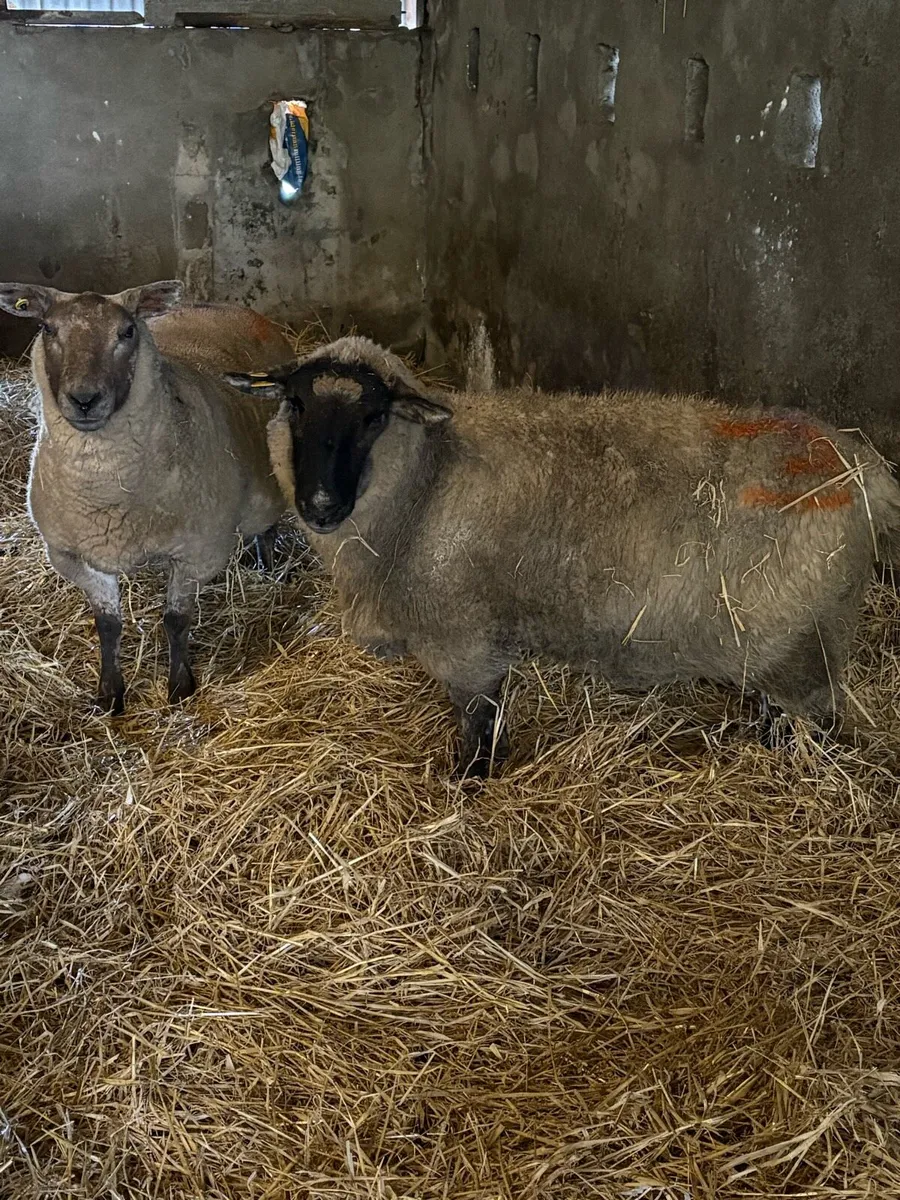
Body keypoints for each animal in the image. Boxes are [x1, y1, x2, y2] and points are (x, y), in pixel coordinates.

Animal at [0, 280, 287, 714]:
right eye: (48, 329)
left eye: (128, 331)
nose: (84, 399)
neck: (107, 491)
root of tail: (229, 307)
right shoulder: (73, 555)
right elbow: (107, 625)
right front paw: (110, 694)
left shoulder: (197, 552)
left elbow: (176, 620)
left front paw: (180, 687)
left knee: (267, 526)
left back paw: (267, 568)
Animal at [225, 335, 900, 777]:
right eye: (296, 405)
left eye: (373, 416)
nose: (318, 506)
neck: (429, 478)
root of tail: (864, 467)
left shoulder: (463, 631)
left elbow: (479, 719)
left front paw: (469, 783)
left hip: (801, 638)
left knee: (813, 721)